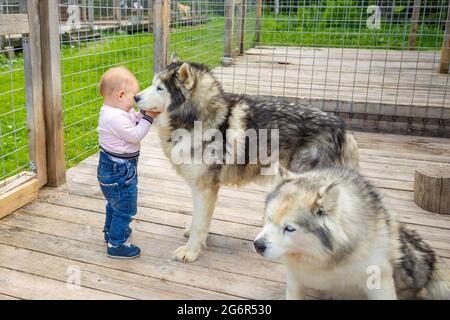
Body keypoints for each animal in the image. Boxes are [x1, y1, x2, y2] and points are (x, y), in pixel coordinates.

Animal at [135, 57, 360, 262]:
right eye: (153, 84)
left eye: (159, 88)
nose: (136, 97)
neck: (198, 118)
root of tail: (342, 128)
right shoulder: (202, 187)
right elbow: (199, 218)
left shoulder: (205, 187)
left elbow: (200, 222)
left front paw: (190, 252)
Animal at [255, 168, 448, 300]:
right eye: (269, 218)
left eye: (289, 228)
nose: (258, 245)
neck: (327, 260)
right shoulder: (296, 279)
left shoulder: (379, 282)